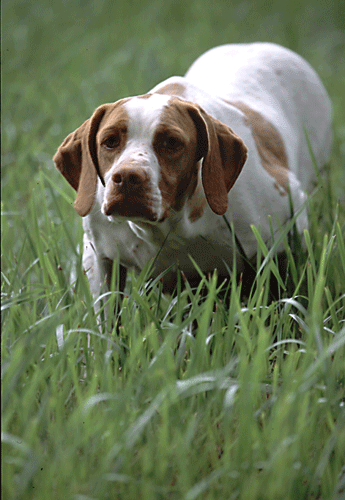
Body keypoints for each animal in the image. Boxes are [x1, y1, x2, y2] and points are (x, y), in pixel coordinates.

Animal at [53, 42, 330, 308]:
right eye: (109, 141)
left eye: (171, 143)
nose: (128, 178)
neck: (169, 227)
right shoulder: (99, 258)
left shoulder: (283, 237)